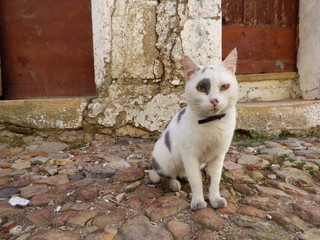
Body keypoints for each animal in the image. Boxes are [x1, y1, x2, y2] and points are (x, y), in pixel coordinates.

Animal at [149, 49, 238, 210]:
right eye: (201, 88)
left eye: (224, 87)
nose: (214, 100)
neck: (212, 123)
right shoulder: (190, 155)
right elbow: (196, 182)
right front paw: (198, 201)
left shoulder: (218, 156)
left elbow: (215, 180)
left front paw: (215, 198)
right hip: (163, 159)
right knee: (164, 175)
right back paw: (173, 183)